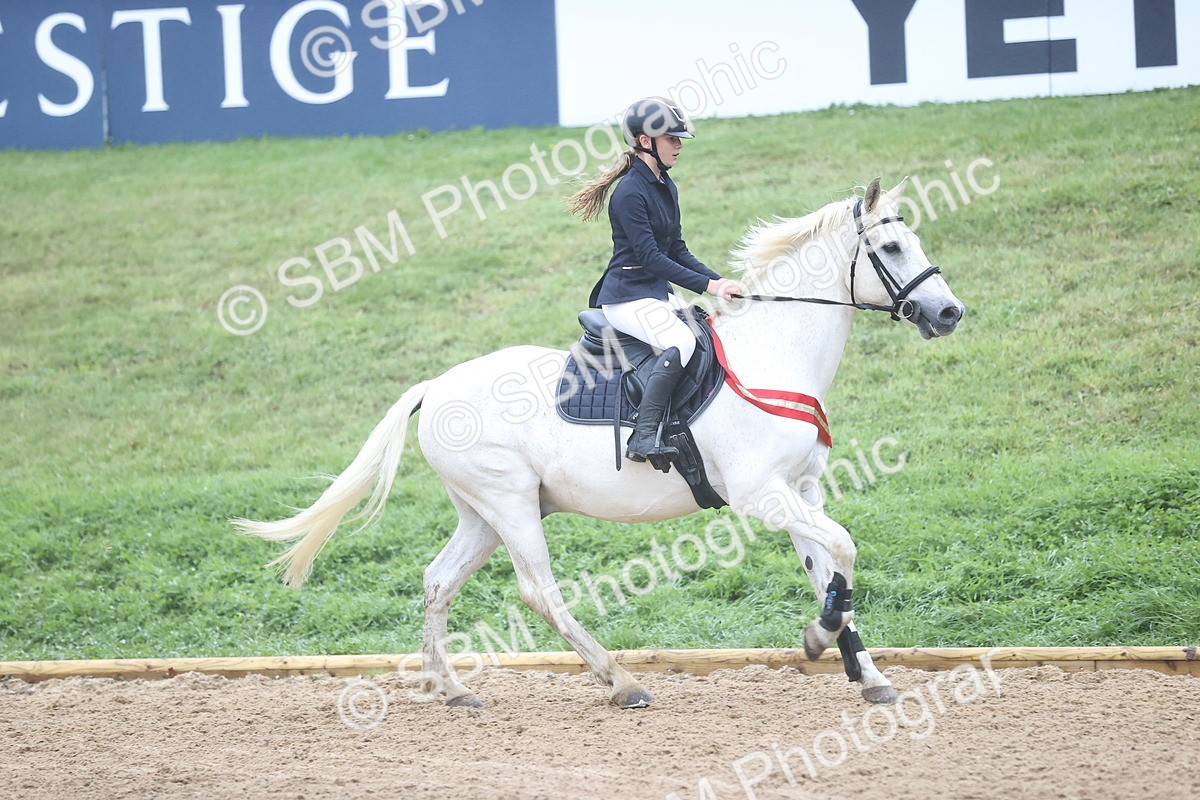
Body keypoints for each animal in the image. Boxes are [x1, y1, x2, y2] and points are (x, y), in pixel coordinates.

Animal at [235, 177, 965, 708]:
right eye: (891, 249)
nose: (949, 312)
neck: (773, 354)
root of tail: (437, 385)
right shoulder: (760, 494)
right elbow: (844, 547)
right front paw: (823, 638)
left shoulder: (799, 489)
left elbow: (827, 565)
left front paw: (863, 671)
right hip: (510, 505)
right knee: (539, 592)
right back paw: (620, 681)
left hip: (483, 513)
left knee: (438, 580)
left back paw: (452, 688)